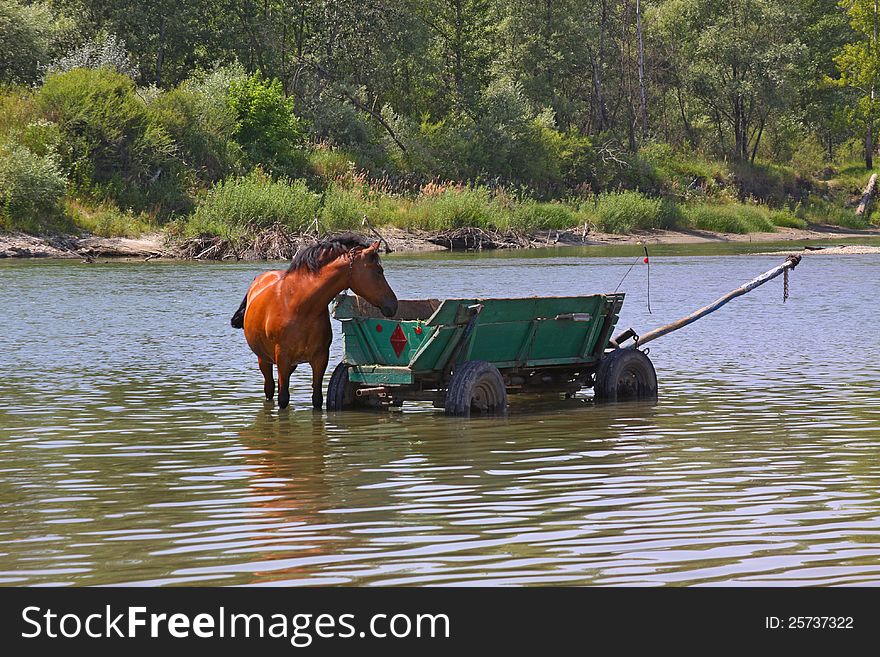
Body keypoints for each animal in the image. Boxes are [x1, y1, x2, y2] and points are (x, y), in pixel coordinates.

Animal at [232, 233, 400, 410]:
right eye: (378, 271)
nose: (393, 305)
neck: (300, 306)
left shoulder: (320, 359)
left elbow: (317, 399)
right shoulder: (283, 359)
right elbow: (283, 398)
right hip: (265, 360)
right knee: (269, 389)